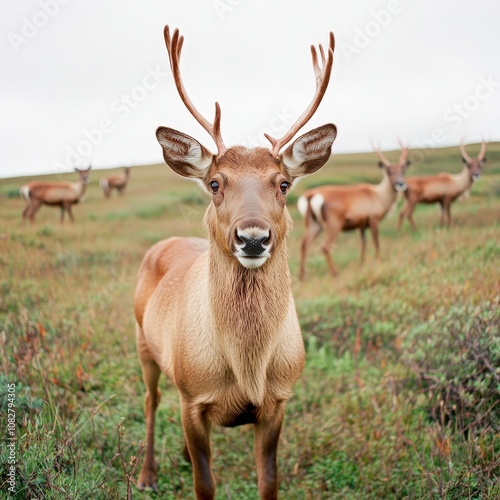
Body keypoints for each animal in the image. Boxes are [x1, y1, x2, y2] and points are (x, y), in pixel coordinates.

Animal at [134, 27, 336, 500]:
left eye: (283, 183)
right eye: (214, 183)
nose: (253, 237)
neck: (247, 368)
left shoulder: (278, 401)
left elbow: (269, 480)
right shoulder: (193, 397)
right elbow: (204, 484)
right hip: (142, 343)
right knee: (151, 401)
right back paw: (148, 473)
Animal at [296, 145, 410, 280]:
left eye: (403, 170)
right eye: (389, 172)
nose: (400, 184)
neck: (379, 197)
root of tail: (310, 195)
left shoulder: (361, 226)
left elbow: (363, 244)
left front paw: (362, 265)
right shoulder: (374, 219)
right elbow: (376, 242)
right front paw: (378, 262)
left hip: (314, 224)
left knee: (304, 244)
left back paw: (302, 275)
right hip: (333, 225)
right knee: (325, 246)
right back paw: (335, 272)